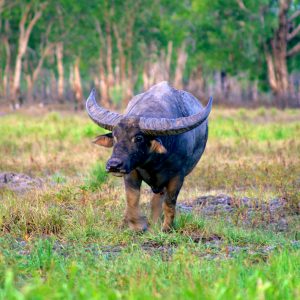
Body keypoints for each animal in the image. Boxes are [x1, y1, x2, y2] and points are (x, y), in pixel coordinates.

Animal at [85, 81, 212, 232]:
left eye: (139, 138)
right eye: (115, 136)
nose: (114, 165)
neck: (154, 163)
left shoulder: (177, 176)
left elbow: (169, 203)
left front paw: (166, 228)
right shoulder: (131, 172)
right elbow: (132, 199)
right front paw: (137, 225)